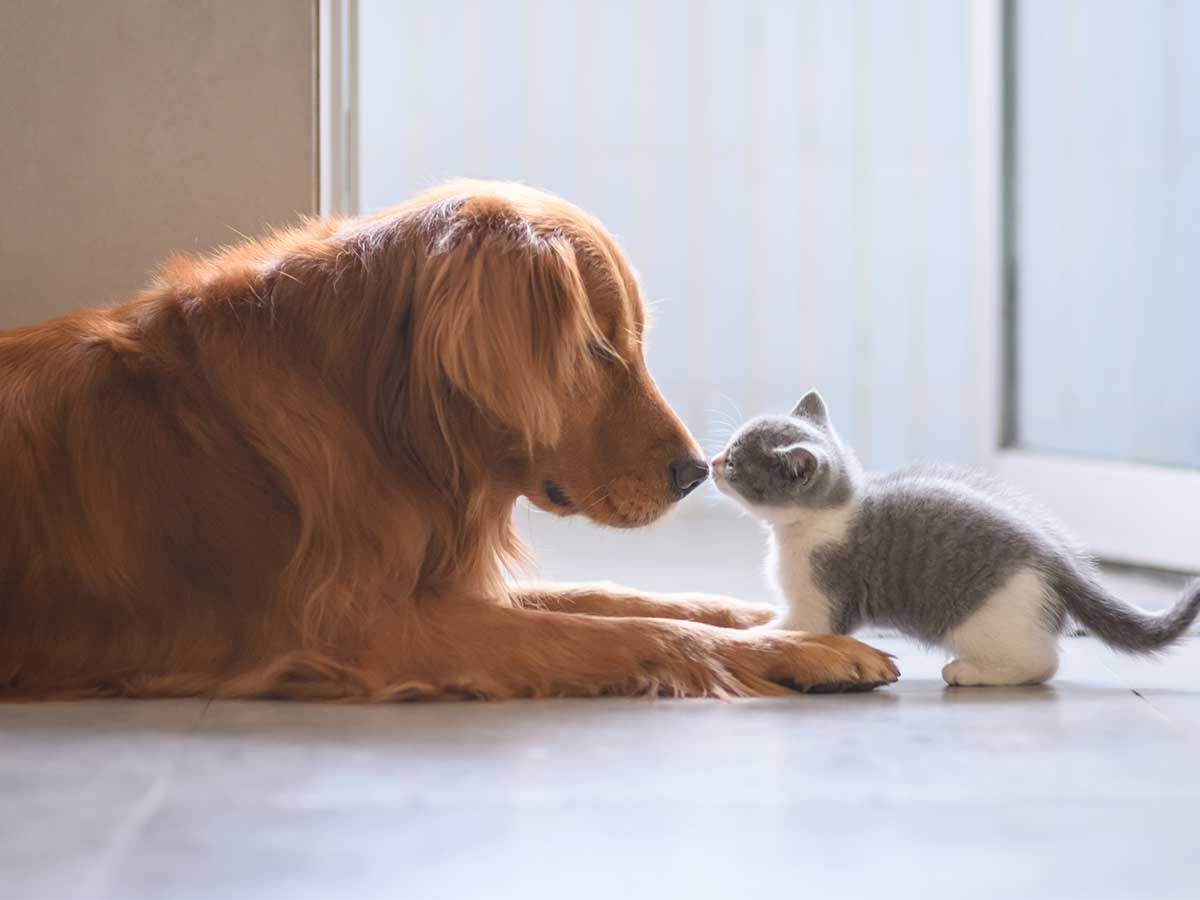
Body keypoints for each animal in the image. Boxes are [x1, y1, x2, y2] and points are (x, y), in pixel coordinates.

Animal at [0, 180, 897, 700]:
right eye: (596, 349)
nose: (694, 473)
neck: (379, 418)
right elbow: (623, 630)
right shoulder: (364, 627)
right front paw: (802, 651)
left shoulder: (441, 584)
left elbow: (623, 598)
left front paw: (774, 623)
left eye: (633, 342)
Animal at [710, 391, 1200, 686]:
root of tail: (1056, 559)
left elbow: (796, 628)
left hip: (987, 619)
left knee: (1041, 663)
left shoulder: (823, 597)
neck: (817, 520)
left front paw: (749, 632)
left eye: (734, 462)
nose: (712, 462)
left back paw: (970, 672)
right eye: (728, 449)